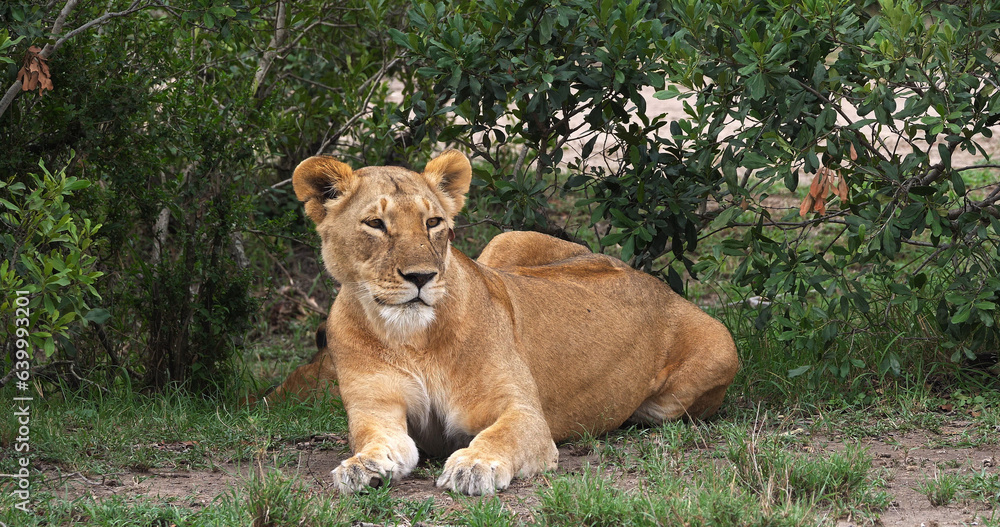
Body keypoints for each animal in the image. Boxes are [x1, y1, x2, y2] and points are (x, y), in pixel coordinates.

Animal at [284, 150, 738, 495]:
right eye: (375, 224)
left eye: (433, 223)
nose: (421, 277)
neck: (411, 338)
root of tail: (656, 283)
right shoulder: (376, 409)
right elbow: (377, 441)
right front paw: (361, 466)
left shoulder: (524, 414)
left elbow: (499, 435)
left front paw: (474, 466)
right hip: (506, 242)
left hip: (709, 360)